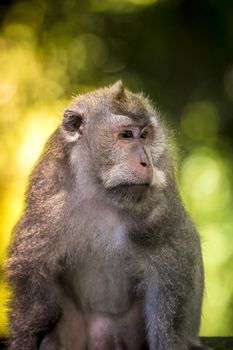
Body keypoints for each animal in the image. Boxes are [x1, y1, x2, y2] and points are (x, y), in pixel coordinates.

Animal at [5, 82, 210, 350]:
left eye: (145, 135)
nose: (146, 162)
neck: (102, 193)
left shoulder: (162, 200)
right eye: (126, 135)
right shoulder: (49, 204)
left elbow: (174, 257)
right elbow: (34, 278)